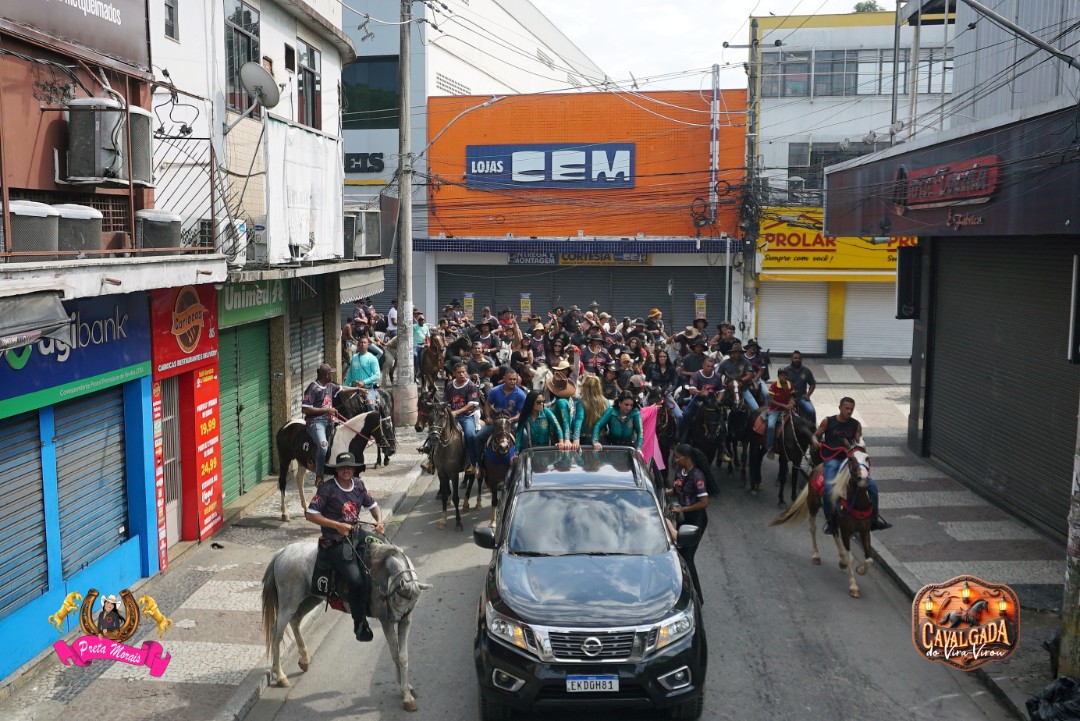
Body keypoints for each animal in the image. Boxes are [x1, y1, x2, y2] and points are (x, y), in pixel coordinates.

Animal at [261, 538, 432, 710]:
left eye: (407, 603)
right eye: (395, 597)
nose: (394, 617)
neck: (382, 571)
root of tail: (283, 552)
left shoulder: (406, 620)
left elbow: (402, 656)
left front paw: (407, 690)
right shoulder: (386, 622)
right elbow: (395, 653)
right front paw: (405, 693)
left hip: (310, 599)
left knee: (295, 621)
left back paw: (304, 659)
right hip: (288, 605)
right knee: (277, 633)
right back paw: (280, 675)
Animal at [430, 400, 467, 531]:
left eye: (441, 416)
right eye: (429, 416)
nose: (434, 437)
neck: (446, 448)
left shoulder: (454, 474)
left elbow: (456, 498)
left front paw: (458, 522)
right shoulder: (442, 474)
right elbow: (445, 496)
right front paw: (443, 519)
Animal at [769, 443, 875, 598]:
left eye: (867, 458)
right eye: (851, 459)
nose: (863, 479)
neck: (857, 502)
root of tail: (816, 467)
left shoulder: (865, 531)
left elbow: (869, 559)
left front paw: (860, 570)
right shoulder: (846, 531)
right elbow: (851, 558)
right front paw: (854, 586)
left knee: (834, 533)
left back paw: (841, 560)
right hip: (813, 506)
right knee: (814, 529)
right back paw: (817, 555)